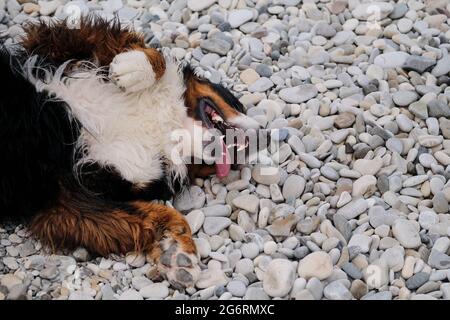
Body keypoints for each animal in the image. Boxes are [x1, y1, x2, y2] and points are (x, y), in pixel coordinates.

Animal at [0, 16, 260, 288]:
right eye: (237, 103)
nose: (262, 139)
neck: (165, 125)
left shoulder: (67, 199)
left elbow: (146, 216)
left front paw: (175, 249)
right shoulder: (55, 44)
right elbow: (151, 55)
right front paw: (133, 69)